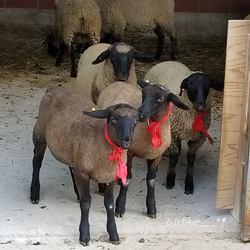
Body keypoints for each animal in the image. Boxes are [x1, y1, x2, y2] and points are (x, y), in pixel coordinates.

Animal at [29, 84, 140, 246]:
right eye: (113, 119)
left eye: (136, 121)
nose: (127, 141)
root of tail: (55, 88)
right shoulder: (83, 173)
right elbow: (86, 203)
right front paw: (85, 235)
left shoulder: (110, 176)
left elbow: (109, 203)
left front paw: (113, 234)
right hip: (40, 133)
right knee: (36, 162)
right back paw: (34, 193)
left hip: (72, 148)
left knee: (70, 165)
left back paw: (76, 192)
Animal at [96, 80, 188, 219]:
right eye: (143, 94)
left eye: (160, 99)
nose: (140, 114)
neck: (152, 128)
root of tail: (118, 82)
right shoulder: (130, 153)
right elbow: (128, 179)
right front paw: (120, 207)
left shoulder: (156, 155)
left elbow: (151, 180)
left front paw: (151, 208)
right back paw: (102, 188)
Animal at [144, 61, 224, 194]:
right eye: (190, 85)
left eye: (208, 85)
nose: (200, 104)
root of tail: (166, 61)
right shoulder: (173, 134)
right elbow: (173, 159)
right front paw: (170, 180)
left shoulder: (198, 137)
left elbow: (191, 160)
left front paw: (189, 184)